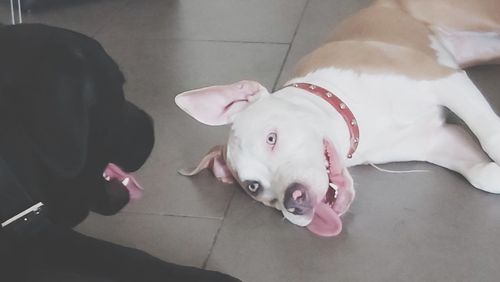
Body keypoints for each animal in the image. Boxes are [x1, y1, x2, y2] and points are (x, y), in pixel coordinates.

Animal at [175, 0, 500, 237]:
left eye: (271, 138)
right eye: (254, 187)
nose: (293, 200)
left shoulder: (445, 80)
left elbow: (490, 136)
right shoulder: (440, 140)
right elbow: (481, 174)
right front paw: (493, 173)